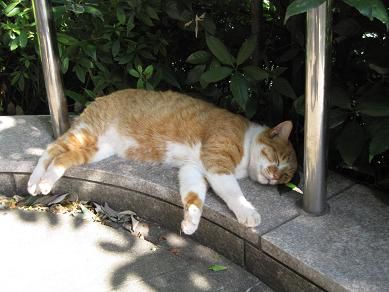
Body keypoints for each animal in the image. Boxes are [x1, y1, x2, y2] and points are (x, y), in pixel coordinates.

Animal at [27, 88, 296, 235]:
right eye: (277, 158)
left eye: (285, 177)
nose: (274, 177)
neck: (247, 141)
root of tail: (100, 97)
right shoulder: (216, 163)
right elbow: (233, 192)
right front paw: (248, 212)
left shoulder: (193, 170)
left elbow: (194, 196)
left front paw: (191, 222)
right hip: (87, 133)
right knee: (50, 150)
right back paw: (37, 182)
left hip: (96, 149)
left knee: (62, 157)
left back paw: (41, 182)